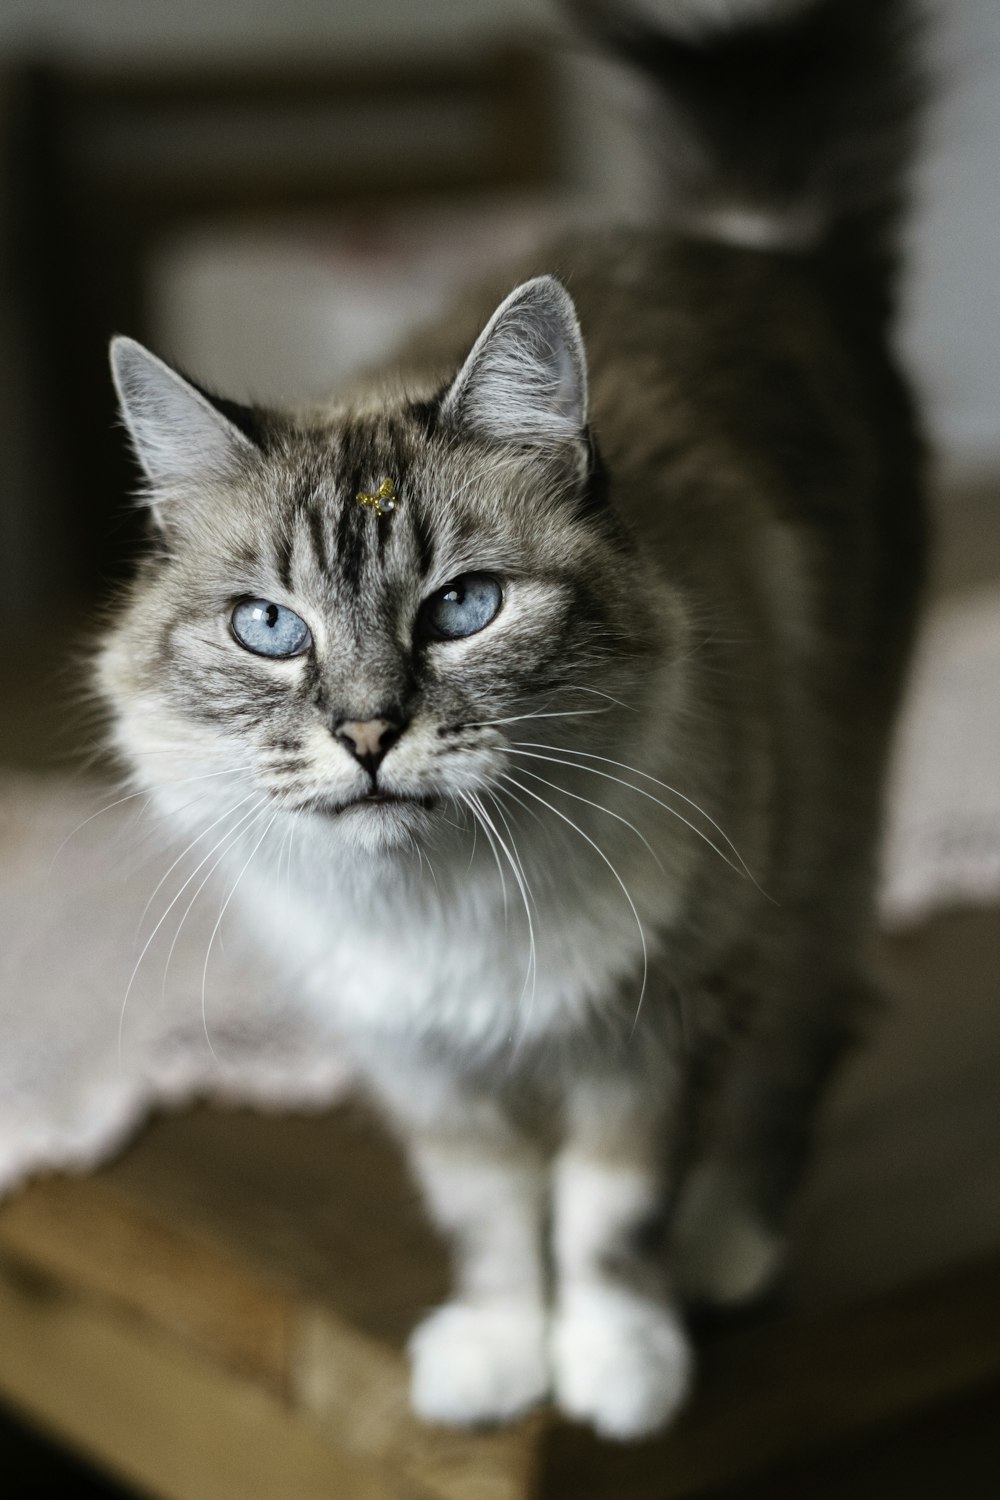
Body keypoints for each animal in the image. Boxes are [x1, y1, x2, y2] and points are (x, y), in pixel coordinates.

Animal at [97, 0, 929, 1440]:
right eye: (271, 629)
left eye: (462, 610)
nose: (368, 736)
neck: (442, 909)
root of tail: (751, 245)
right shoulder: (419, 1061)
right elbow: (490, 1220)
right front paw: (493, 1365)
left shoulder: (647, 1027)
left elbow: (603, 1217)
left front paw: (618, 1369)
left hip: (816, 849)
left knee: (810, 1033)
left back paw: (726, 1254)